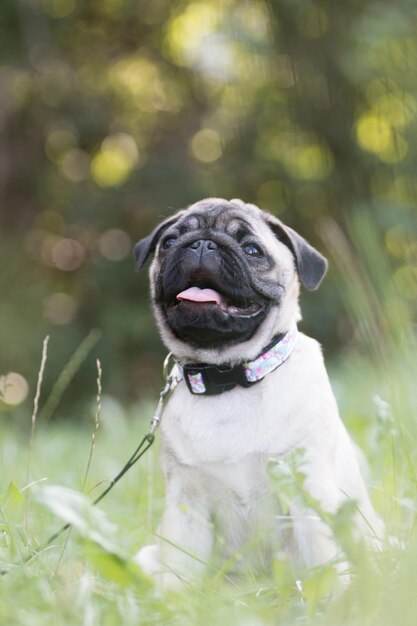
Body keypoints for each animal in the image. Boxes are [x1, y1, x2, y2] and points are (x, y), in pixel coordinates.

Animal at [132, 199, 380, 584]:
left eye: (252, 250)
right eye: (169, 242)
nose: (202, 244)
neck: (229, 374)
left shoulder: (308, 491)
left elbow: (322, 563)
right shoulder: (186, 506)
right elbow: (179, 573)